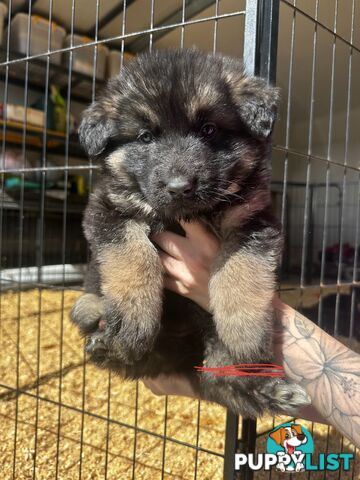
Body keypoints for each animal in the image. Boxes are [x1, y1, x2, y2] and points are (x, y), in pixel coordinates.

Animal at [71, 47, 310, 416]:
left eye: (209, 129)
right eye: (145, 137)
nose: (179, 187)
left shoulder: (253, 221)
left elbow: (240, 274)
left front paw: (244, 334)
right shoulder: (109, 210)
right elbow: (133, 258)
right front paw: (133, 319)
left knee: (220, 377)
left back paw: (271, 388)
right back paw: (106, 342)